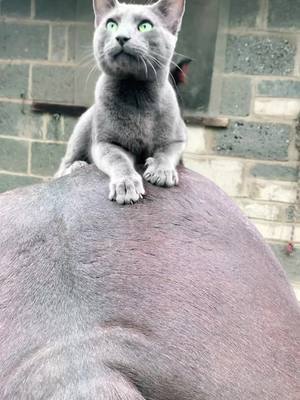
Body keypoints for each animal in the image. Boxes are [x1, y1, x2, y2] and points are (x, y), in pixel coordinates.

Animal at [55, 0, 186, 205]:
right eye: (111, 24)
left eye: (145, 26)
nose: (121, 37)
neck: (136, 93)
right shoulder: (105, 142)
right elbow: (118, 160)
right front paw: (126, 186)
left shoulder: (178, 138)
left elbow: (166, 152)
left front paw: (161, 172)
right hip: (84, 126)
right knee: (62, 166)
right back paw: (76, 167)